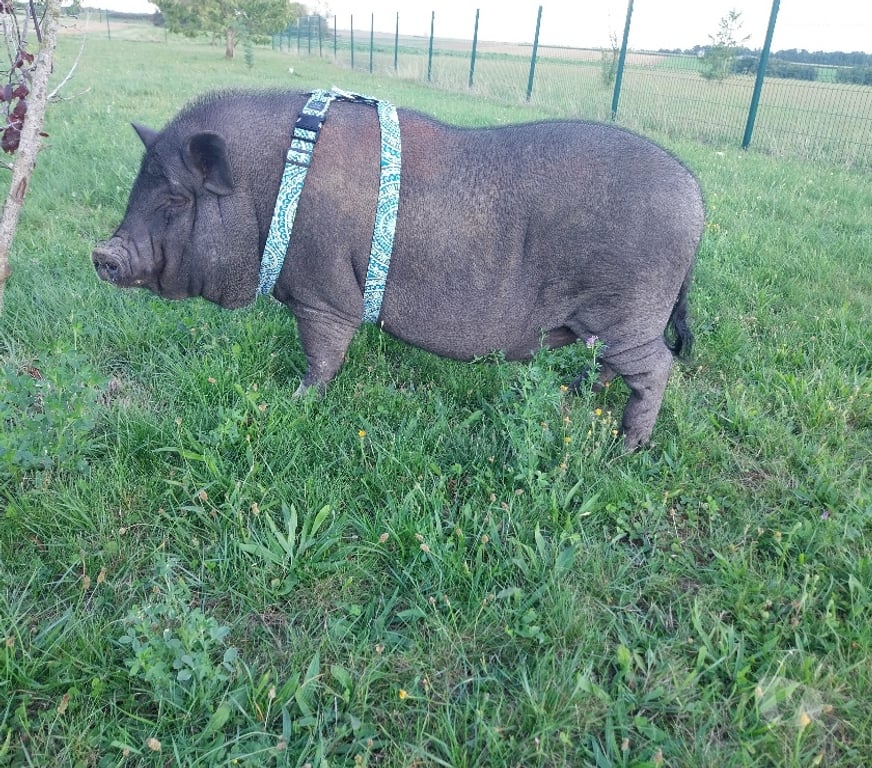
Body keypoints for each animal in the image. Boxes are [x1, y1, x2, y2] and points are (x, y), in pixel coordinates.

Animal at [93, 89, 704, 449]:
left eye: (175, 198)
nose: (102, 254)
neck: (271, 188)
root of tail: (697, 198)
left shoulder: (322, 292)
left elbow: (322, 355)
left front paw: (295, 402)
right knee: (610, 365)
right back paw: (573, 394)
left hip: (628, 312)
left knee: (657, 367)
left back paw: (624, 448)